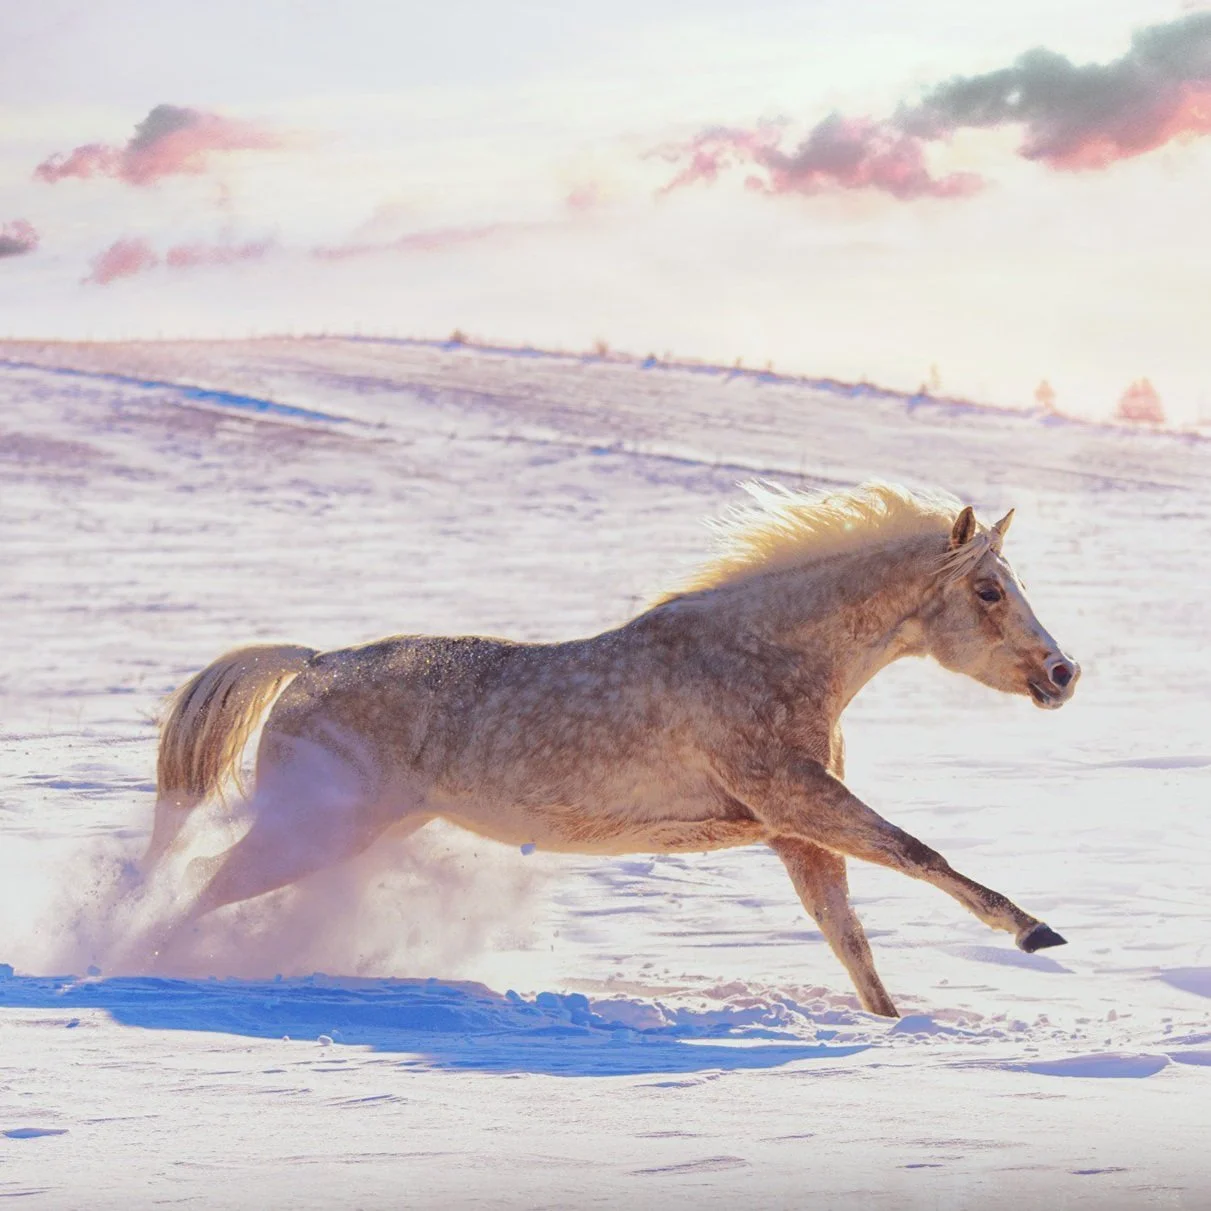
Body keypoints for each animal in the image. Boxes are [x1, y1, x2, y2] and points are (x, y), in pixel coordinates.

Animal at [144, 481, 1079, 1018]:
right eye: (988, 590)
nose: (1062, 674)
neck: (767, 653)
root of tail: (309, 664)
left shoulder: (793, 831)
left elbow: (850, 939)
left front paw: (893, 1026)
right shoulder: (798, 799)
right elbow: (919, 854)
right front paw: (1036, 933)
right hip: (312, 832)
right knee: (203, 889)